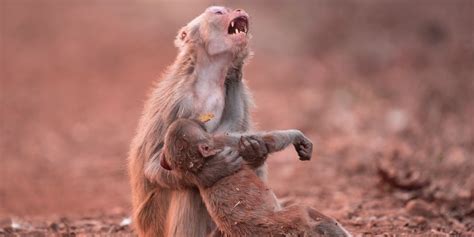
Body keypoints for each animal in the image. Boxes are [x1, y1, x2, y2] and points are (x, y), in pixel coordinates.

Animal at [128, 5, 274, 237]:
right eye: (219, 12)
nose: (238, 9)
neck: (209, 78)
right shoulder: (178, 102)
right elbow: (153, 165)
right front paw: (211, 172)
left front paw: (254, 150)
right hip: (157, 224)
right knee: (188, 190)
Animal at [159, 119, 352, 236]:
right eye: (196, 126)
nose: (200, 121)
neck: (200, 163)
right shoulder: (223, 142)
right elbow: (269, 140)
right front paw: (298, 136)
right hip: (288, 221)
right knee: (306, 210)